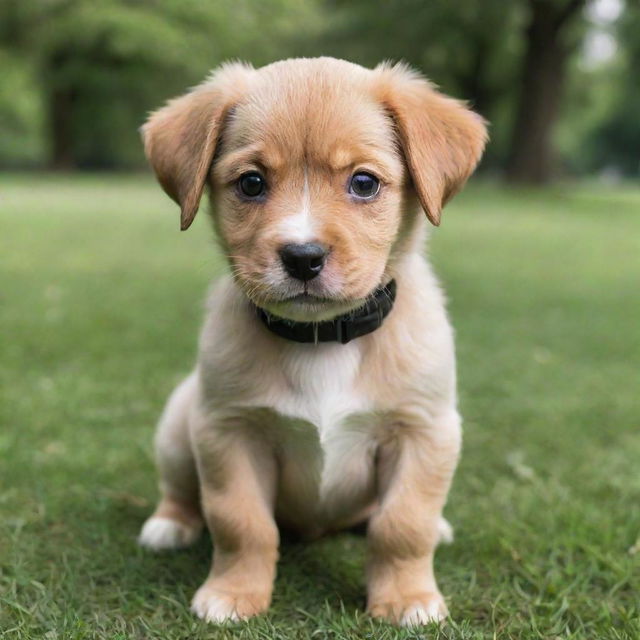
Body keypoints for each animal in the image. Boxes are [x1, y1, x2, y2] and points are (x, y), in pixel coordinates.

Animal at [136, 57, 484, 628]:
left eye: (363, 183)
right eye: (251, 183)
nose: (302, 257)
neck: (323, 341)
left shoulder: (424, 431)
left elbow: (402, 525)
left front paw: (407, 598)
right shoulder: (230, 431)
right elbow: (241, 522)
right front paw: (233, 594)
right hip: (179, 425)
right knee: (182, 491)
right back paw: (169, 524)